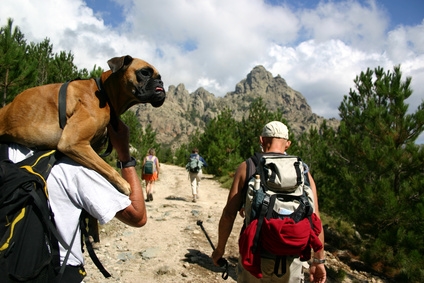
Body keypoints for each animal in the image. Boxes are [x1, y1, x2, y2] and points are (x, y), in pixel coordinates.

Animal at [0, 56, 166, 196]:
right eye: (144, 72)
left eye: (160, 78)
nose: (161, 84)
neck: (103, 92)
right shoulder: (73, 143)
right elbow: (107, 168)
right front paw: (123, 184)